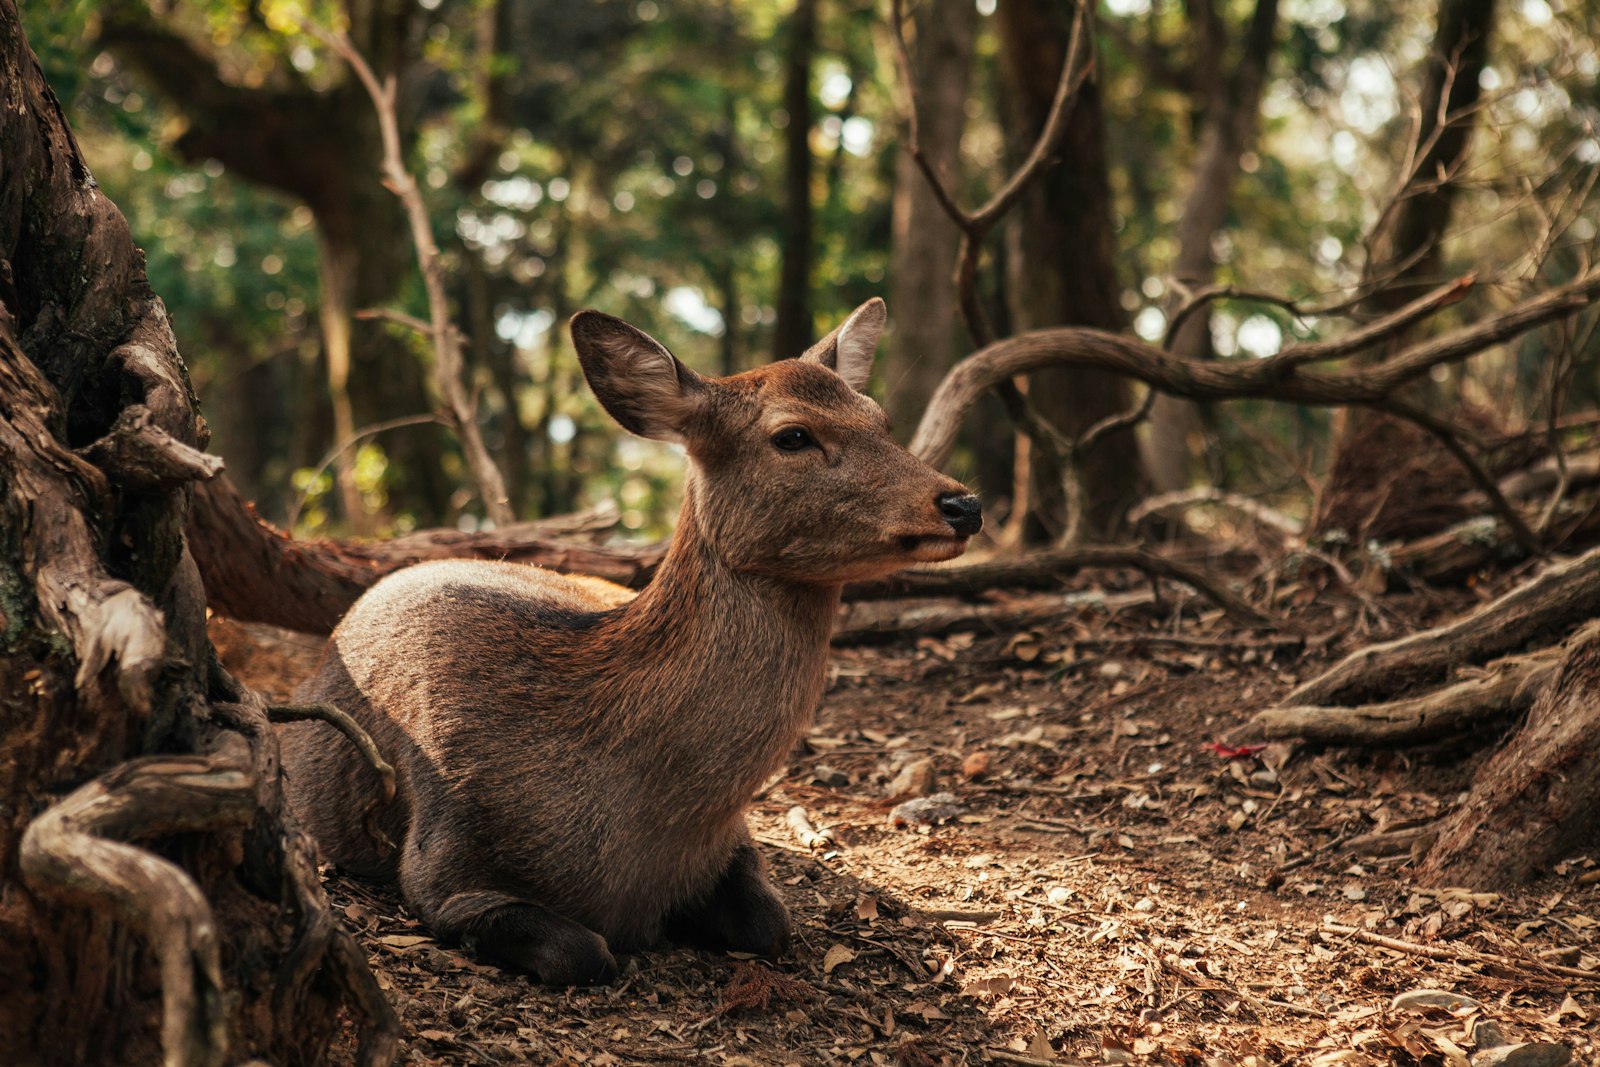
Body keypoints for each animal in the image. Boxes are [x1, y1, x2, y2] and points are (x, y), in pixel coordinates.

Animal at [281, 299, 979, 985]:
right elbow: (583, 953)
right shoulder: (440, 863)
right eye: (793, 435)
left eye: (881, 418)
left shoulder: (732, 839)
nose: (963, 504)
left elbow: (770, 924)